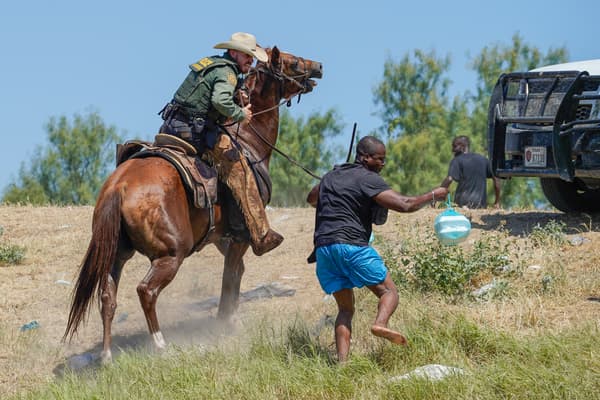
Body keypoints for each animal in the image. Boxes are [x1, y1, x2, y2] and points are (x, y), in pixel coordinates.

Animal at [64, 47, 324, 362]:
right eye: (292, 61)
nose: (318, 67)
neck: (249, 139)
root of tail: (119, 187)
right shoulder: (240, 236)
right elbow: (229, 278)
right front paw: (225, 323)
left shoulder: (222, 238)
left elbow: (235, 273)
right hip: (171, 254)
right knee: (146, 291)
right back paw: (160, 344)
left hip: (117, 253)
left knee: (107, 296)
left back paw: (106, 355)